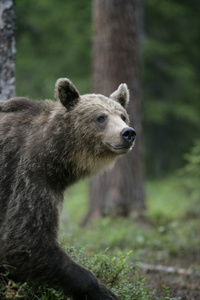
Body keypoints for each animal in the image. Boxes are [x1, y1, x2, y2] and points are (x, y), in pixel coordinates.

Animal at [0, 78, 136, 298]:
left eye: (123, 115)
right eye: (101, 117)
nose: (127, 133)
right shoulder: (28, 177)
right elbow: (24, 239)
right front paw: (105, 291)